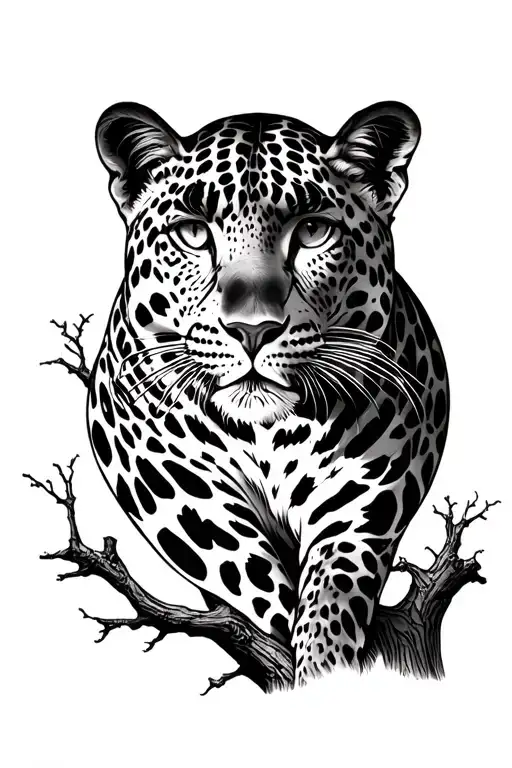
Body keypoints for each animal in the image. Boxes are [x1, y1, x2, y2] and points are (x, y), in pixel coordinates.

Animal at [88, 100, 449, 686]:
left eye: (313, 231)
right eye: (194, 233)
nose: (252, 329)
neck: (266, 432)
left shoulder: (366, 490)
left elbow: (329, 593)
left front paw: (328, 666)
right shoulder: (160, 467)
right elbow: (252, 573)